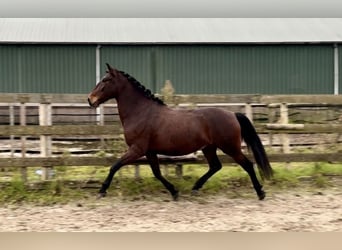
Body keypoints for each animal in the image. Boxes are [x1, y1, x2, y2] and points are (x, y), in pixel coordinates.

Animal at [87, 64, 272, 201]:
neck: (141, 112)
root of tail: (232, 114)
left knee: (247, 165)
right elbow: (157, 173)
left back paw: (260, 193)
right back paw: (196, 188)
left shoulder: (137, 149)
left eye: (106, 80)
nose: (90, 100)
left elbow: (115, 166)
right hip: (209, 147)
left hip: (230, 148)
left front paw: (102, 191)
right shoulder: (149, 151)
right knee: (215, 166)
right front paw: (174, 192)